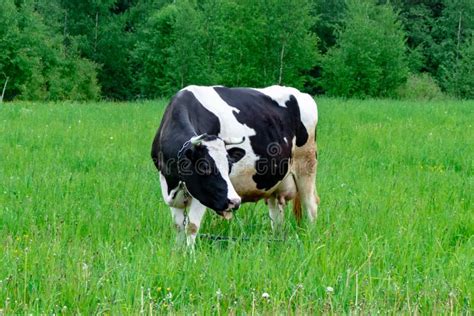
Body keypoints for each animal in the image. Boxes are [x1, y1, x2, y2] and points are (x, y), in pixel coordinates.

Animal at [151, 85, 322, 246]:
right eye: (204, 166)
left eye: (229, 167)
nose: (235, 201)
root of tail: (301, 94)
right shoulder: (170, 189)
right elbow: (178, 227)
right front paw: (178, 253)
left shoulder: (203, 194)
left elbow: (192, 227)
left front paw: (190, 256)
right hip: (275, 185)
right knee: (277, 218)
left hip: (306, 166)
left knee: (311, 207)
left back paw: (311, 239)